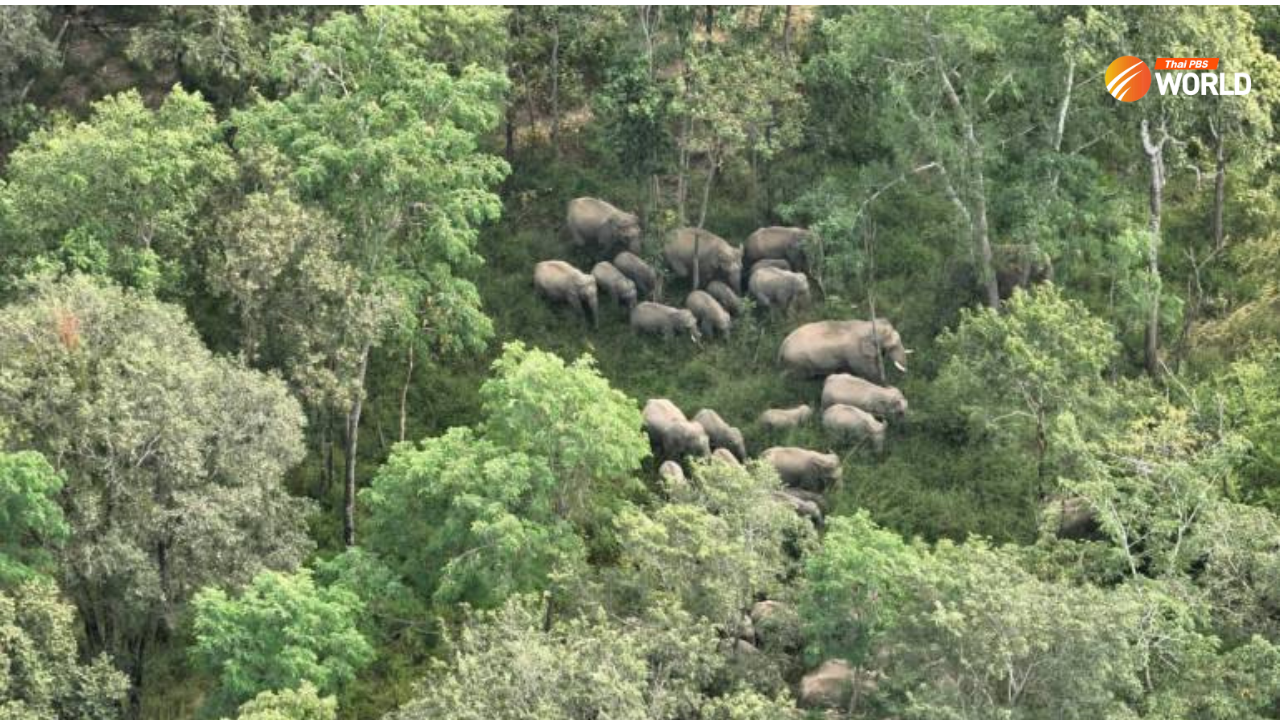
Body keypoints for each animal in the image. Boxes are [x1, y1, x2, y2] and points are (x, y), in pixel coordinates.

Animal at [778, 316, 911, 379]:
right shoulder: (856, 354)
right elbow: (868, 371)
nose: (905, 374)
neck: (866, 326)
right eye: (892, 346)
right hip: (799, 361)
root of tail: (782, 346)